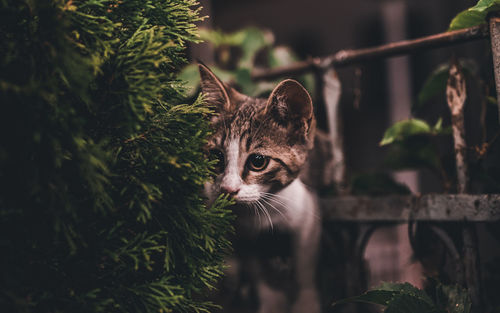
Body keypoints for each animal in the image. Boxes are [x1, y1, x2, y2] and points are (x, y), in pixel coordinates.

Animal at [199, 63, 320, 312]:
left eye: (258, 161)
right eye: (216, 157)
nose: (228, 189)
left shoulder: (307, 210)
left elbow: (304, 265)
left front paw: (307, 300)